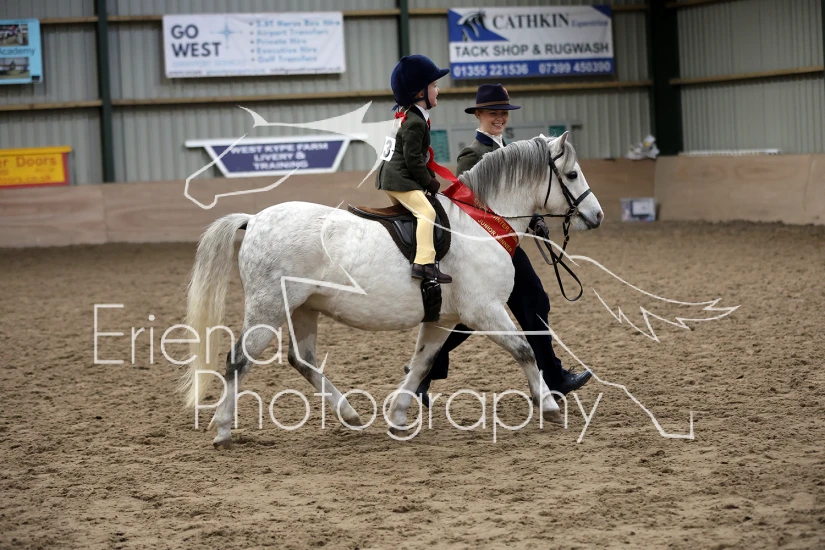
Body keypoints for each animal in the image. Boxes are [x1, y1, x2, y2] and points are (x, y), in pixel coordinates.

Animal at [180, 132, 604, 448]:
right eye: (571, 175)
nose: (596, 215)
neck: (479, 222)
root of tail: (253, 220)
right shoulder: (484, 310)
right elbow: (524, 349)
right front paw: (548, 405)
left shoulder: (443, 319)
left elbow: (422, 363)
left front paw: (399, 416)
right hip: (267, 309)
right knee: (238, 360)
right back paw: (223, 430)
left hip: (304, 308)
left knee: (302, 360)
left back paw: (350, 414)